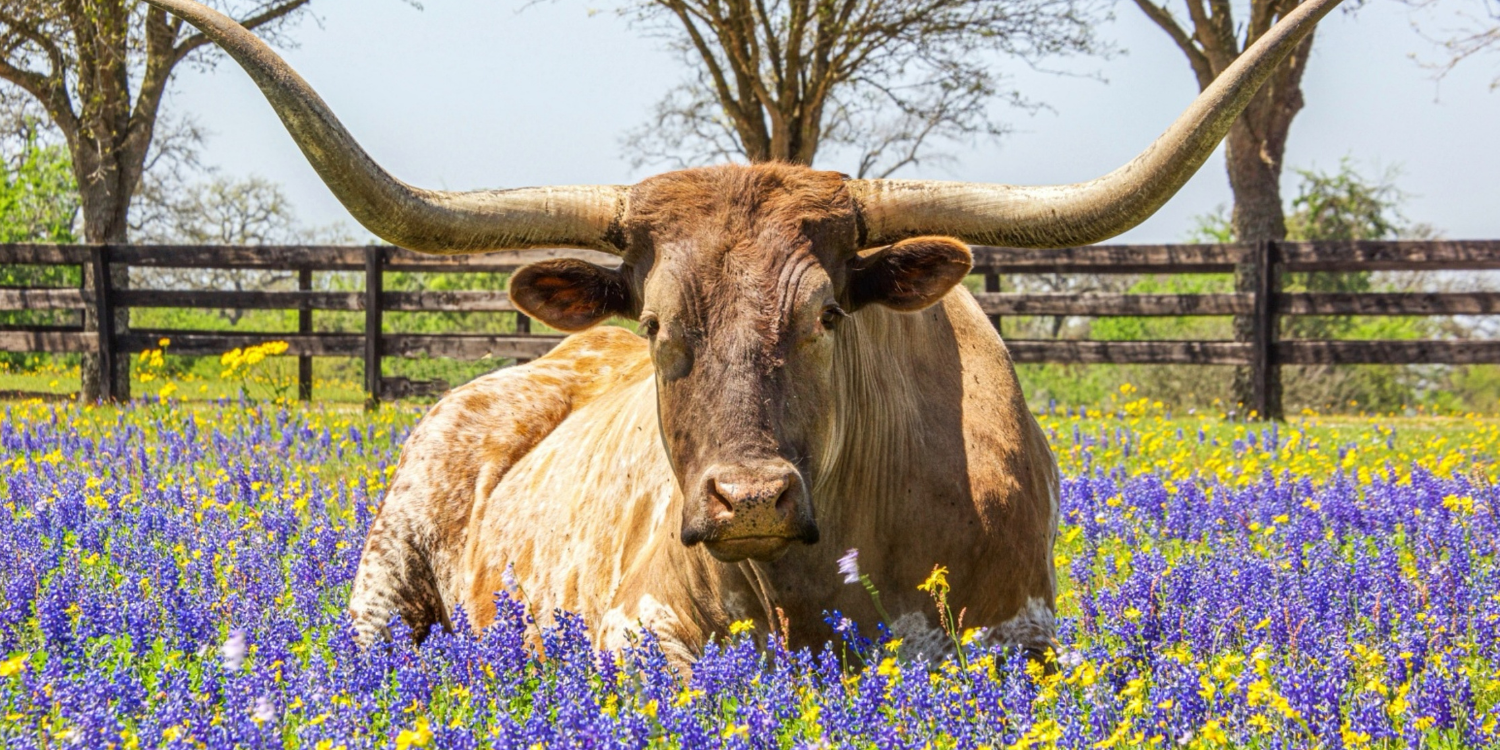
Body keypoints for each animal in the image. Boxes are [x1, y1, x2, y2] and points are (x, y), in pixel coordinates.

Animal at [151, 0, 1343, 665]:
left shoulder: (1025, 641)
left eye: (824, 313)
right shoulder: (633, 630)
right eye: (657, 320)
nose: (749, 499)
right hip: (381, 584)